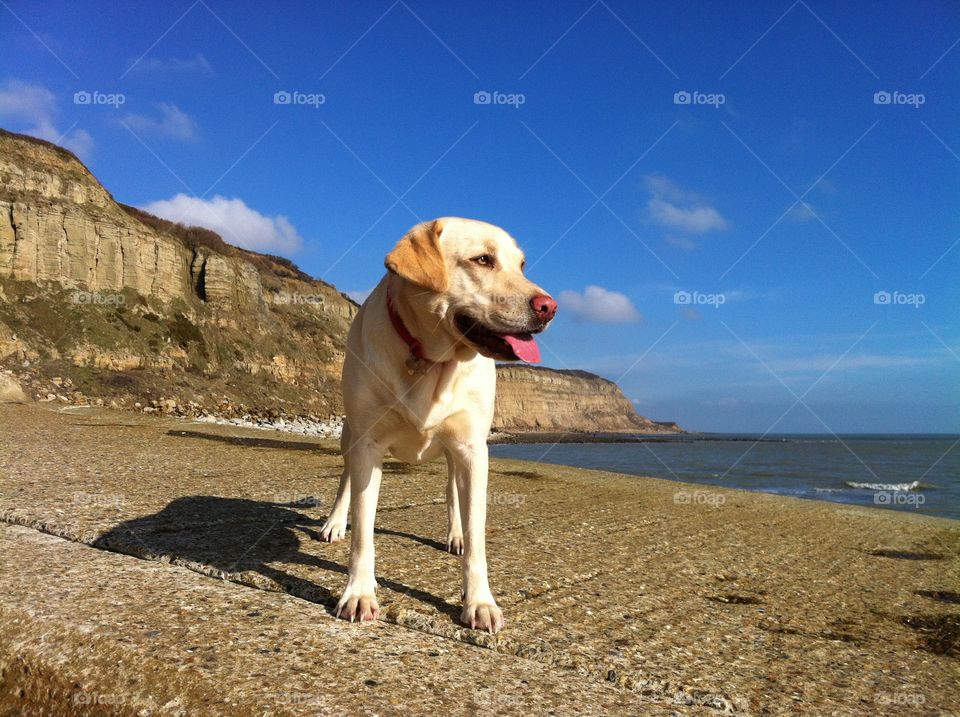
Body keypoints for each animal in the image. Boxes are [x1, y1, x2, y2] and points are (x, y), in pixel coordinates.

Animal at [320, 215, 556, 628]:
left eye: (521, 265)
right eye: (483, 259)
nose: (549, 307)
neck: (432, 358)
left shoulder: (473, 450)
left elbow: (477, 537)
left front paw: (479, 601)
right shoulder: (368, 445)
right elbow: (363, 532)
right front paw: (359, 593)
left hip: (454, 452)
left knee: (451, 490)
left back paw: (455, 534)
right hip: (349, 434)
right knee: (346, 479)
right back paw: (335, 522)